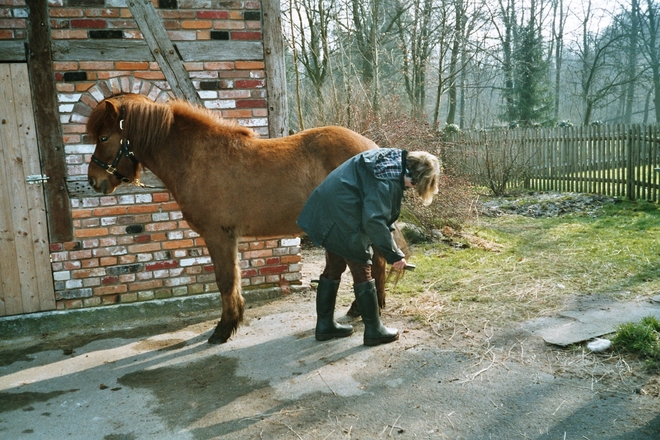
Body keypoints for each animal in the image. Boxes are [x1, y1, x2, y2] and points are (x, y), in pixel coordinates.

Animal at [87, 93, 394, 344]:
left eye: (104, 138)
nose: (93, 180)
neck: (195, 159)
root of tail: (371, 147)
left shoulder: (218, 235)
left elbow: (225, 280)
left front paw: (224, 329)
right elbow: (232, 278)